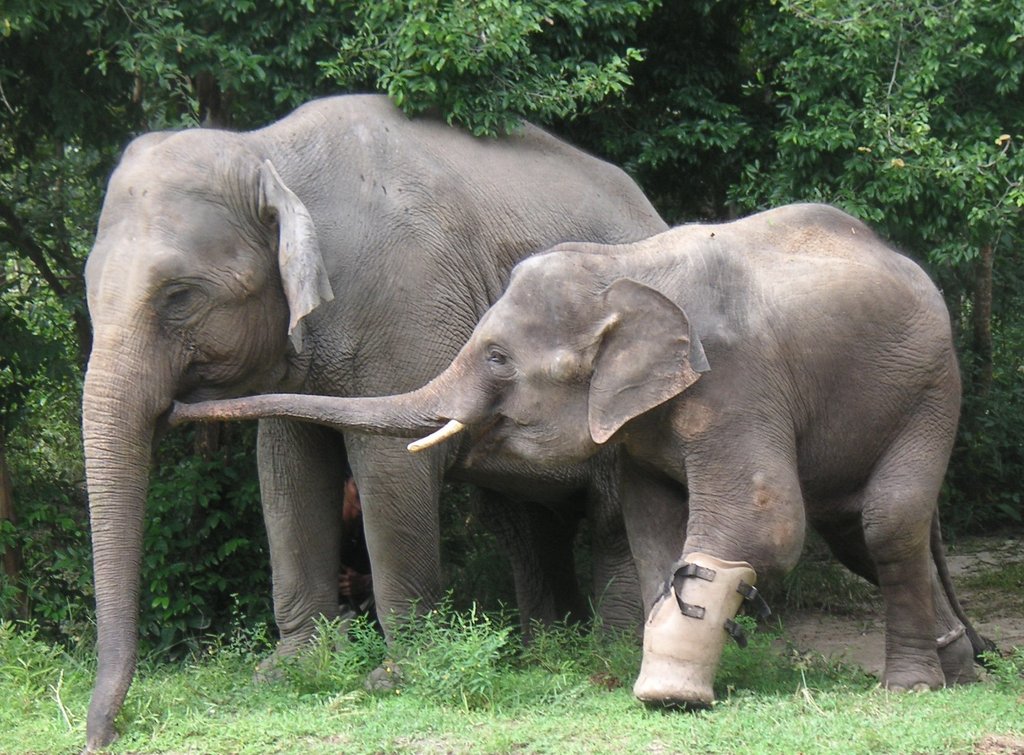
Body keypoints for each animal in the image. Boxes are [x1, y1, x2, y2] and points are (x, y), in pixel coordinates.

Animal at [82, 93, 666, 748]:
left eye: (178, 296)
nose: (101, 736)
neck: (268, 151)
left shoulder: (409, 304)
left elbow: (388, 467)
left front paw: (393, 678)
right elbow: (286, 469)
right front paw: (288, 672)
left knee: (612, 517)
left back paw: (610, 654)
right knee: (526, 527)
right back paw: (549, 653)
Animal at [172, 203, 990, 707]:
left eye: (498, 358)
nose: (178, 406)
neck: (624, 267)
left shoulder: (737, 380)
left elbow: (765, 523)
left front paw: (667, 694)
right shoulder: (640, 421)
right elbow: (655, 526)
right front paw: (661, 679)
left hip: (931, 384)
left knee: (886, 520)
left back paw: (911, 688)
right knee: (861, 530)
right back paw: (960, 669)